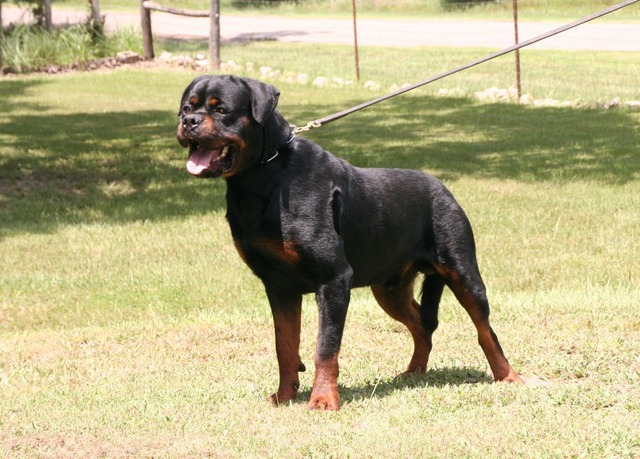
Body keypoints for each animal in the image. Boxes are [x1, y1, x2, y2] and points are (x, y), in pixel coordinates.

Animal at [176, 75, 524, 414]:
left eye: (221, 109)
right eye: (186, 108)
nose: (189, 121)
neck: (263, 176)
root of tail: (442, 186)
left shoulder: (333, 279)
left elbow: (325, 346)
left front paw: (323, 400)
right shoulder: (278, 285)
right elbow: (284, 345)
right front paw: (285, 395)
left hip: (462, 271)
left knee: (484, 329)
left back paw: (508, 375)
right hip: (389, 288)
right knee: (422, 325)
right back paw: (414, 372)